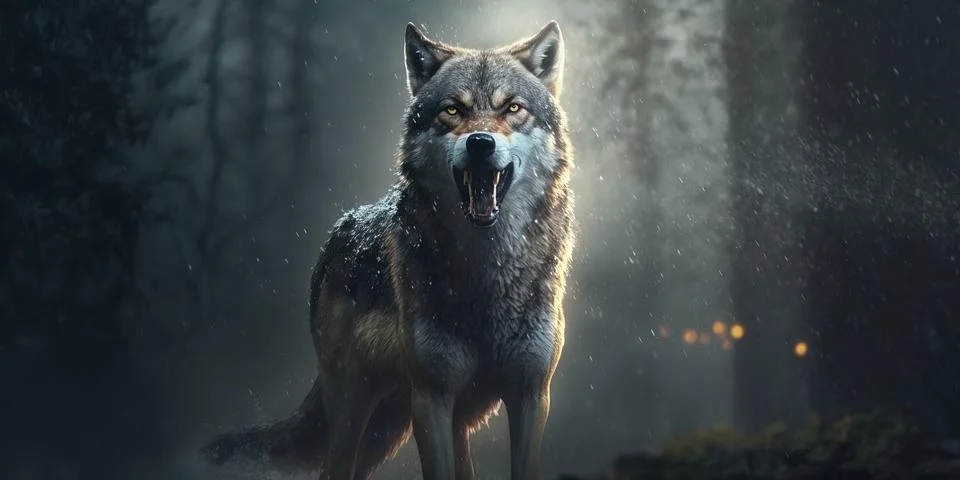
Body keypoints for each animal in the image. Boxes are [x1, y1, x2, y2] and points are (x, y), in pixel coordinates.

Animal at [202, 20, 575, 480]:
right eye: (453, 110)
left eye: (513, 108)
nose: (480, 142)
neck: (488, 272)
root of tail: (338, 232)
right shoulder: (431, 397)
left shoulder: (530, 395)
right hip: (357, 411)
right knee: (334, 466)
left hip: (423, 421)